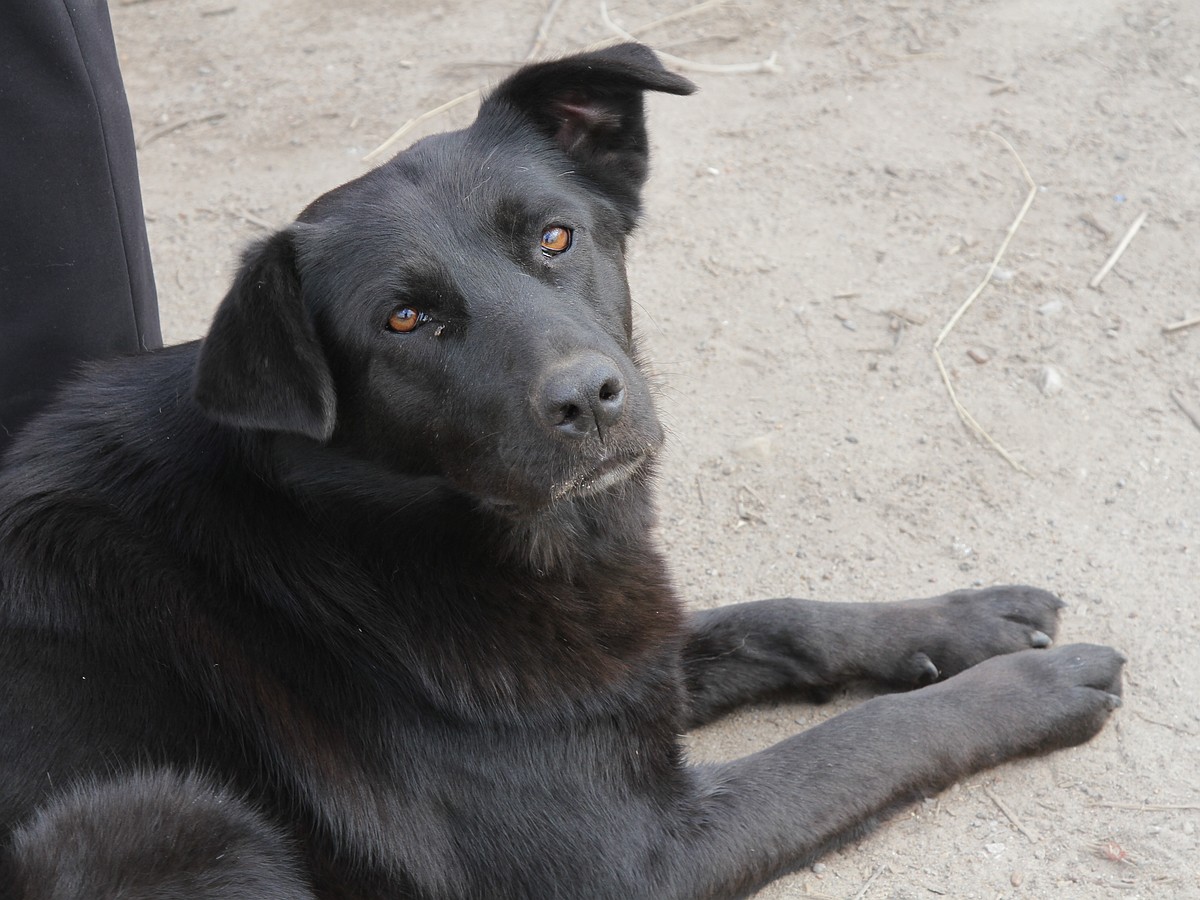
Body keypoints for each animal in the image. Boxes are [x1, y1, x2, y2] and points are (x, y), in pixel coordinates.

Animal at [0, 45, 1123, 897]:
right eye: (404, 319)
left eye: (555, 236)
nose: (589, 399)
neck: (370, 533)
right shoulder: (634, 858)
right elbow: (861, 742)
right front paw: (1029, 688)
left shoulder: (617, 664)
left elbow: (777, 618)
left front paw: (965, 620)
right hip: (171, 815)